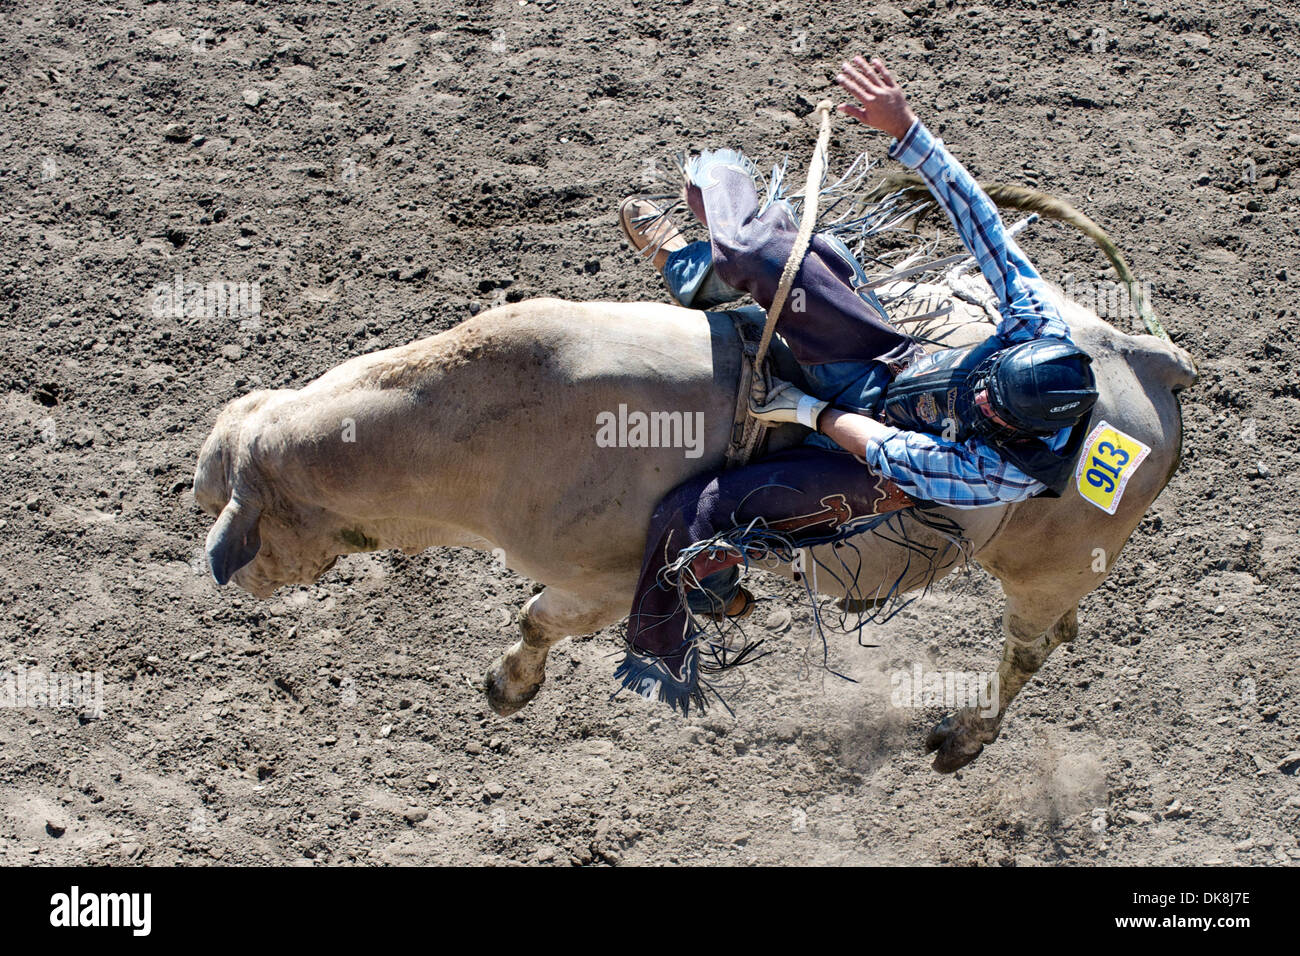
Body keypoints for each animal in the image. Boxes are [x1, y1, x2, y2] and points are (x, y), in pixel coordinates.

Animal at [192, 269, 1196, 770]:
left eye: (251, 515)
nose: (230, 572)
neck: (496, 418)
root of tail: (1139, 358)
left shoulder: (600, 581)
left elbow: (538, 619)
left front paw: (508, 685)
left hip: (1044, 569)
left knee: (1032, 645)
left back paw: (964, 736)